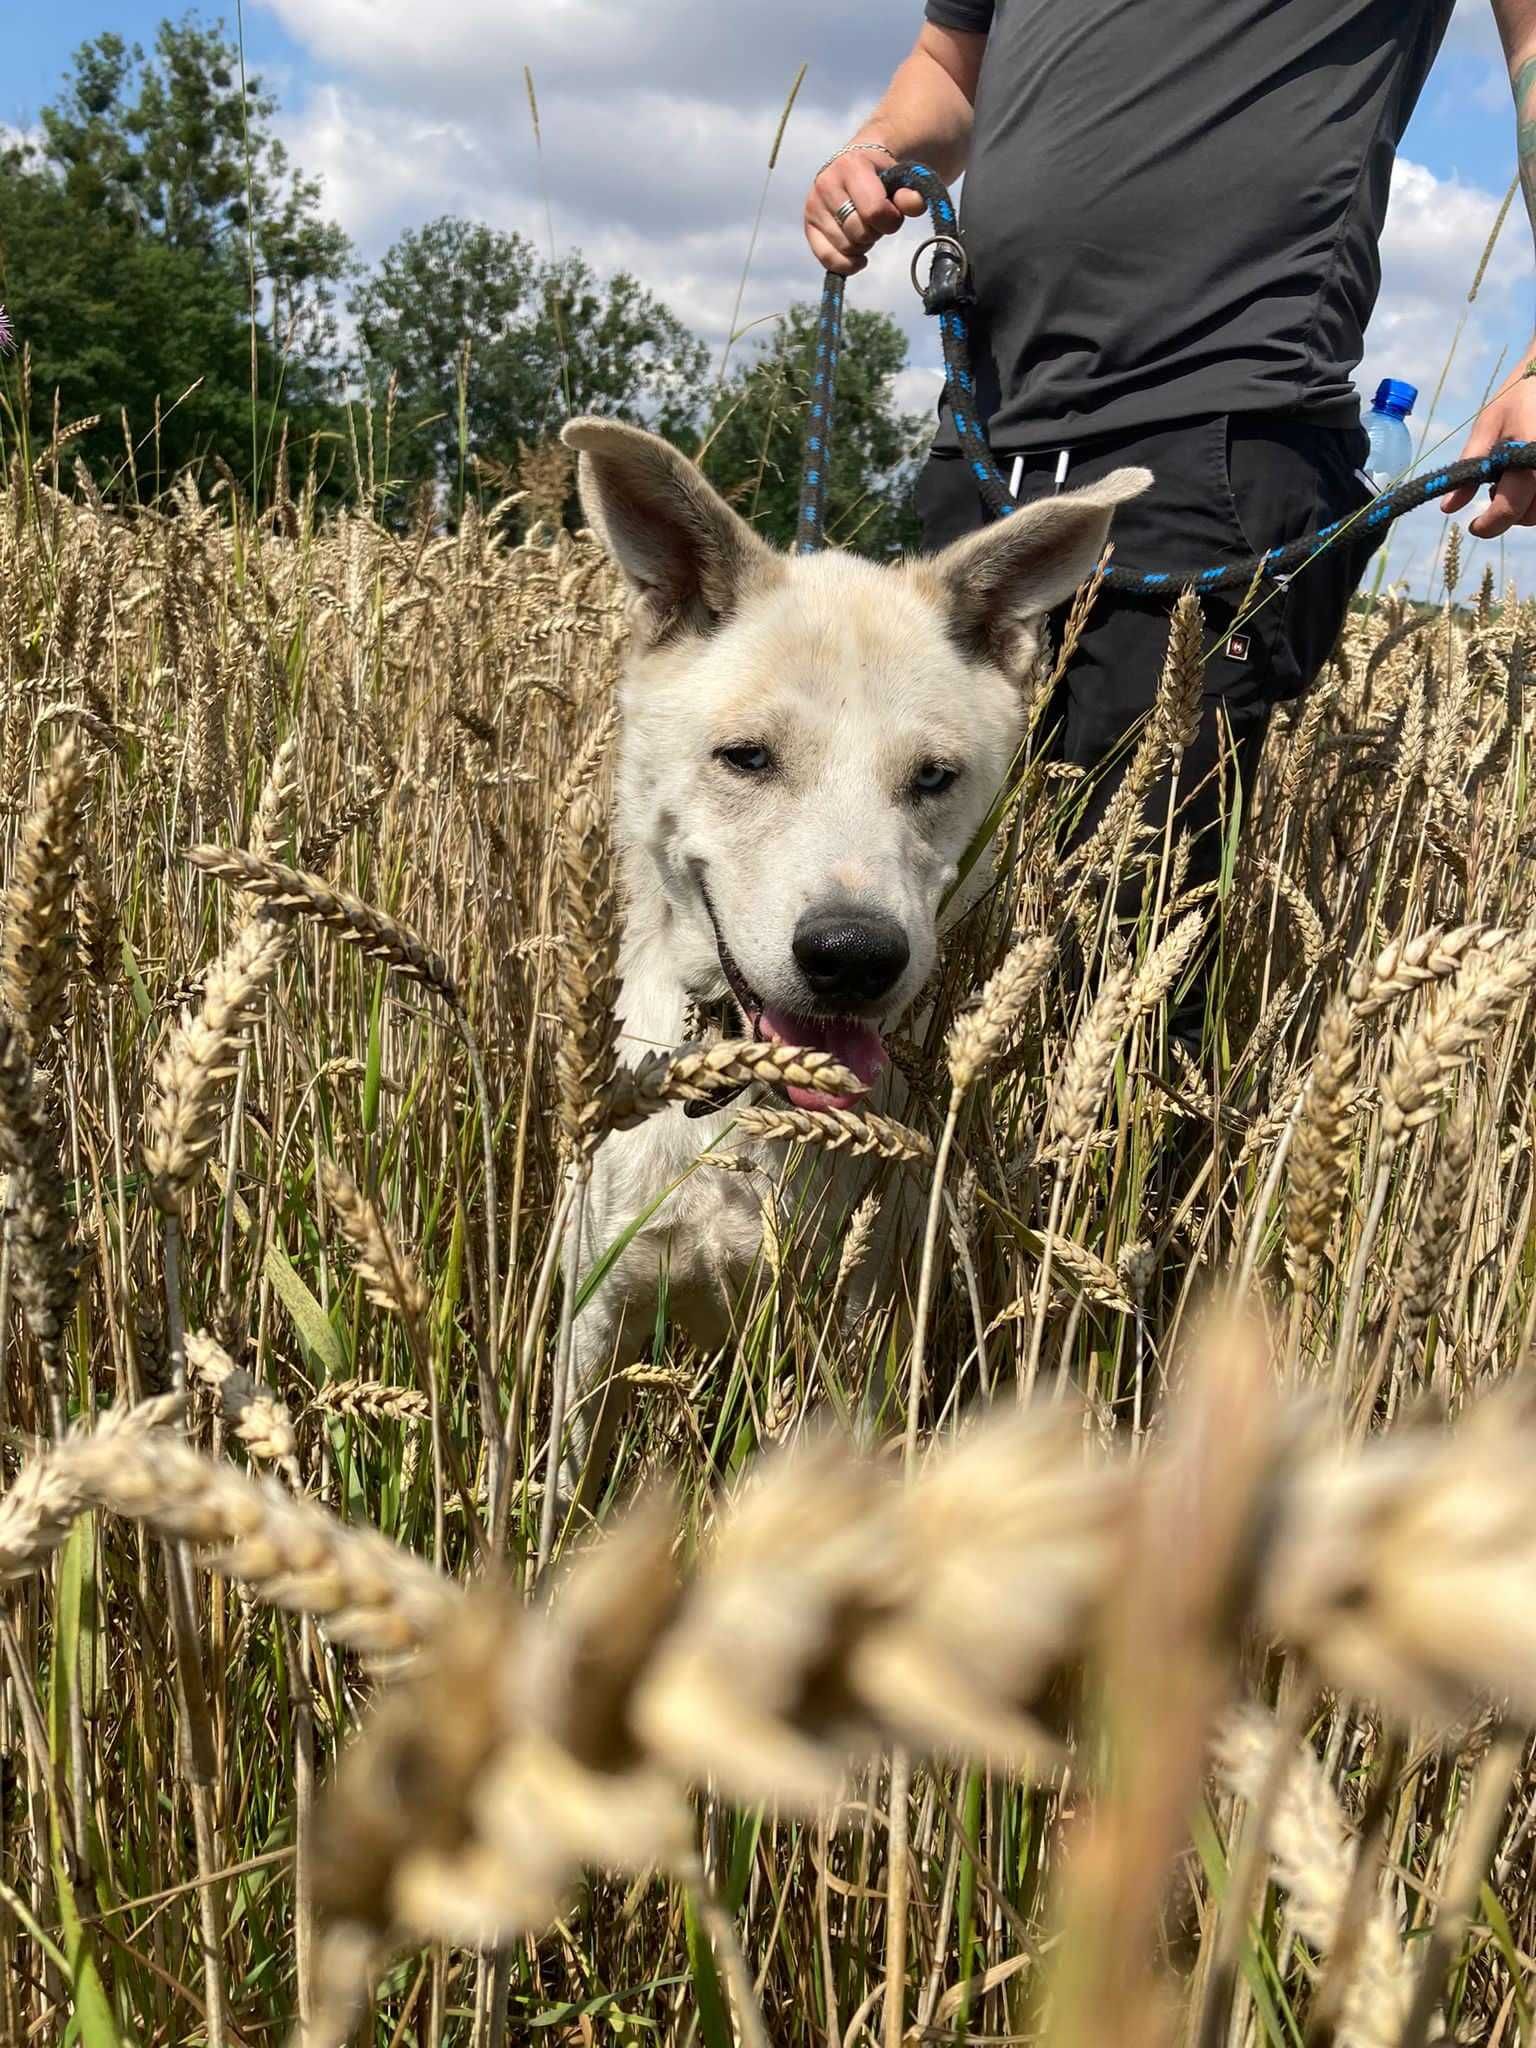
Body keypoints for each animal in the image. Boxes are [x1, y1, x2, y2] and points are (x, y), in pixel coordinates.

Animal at [561, 419, 1146, 1507]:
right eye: (746, 756)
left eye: (934, 777)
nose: (852, 956)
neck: (754, 1110)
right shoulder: (596, 1313)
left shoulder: (853, 1325)